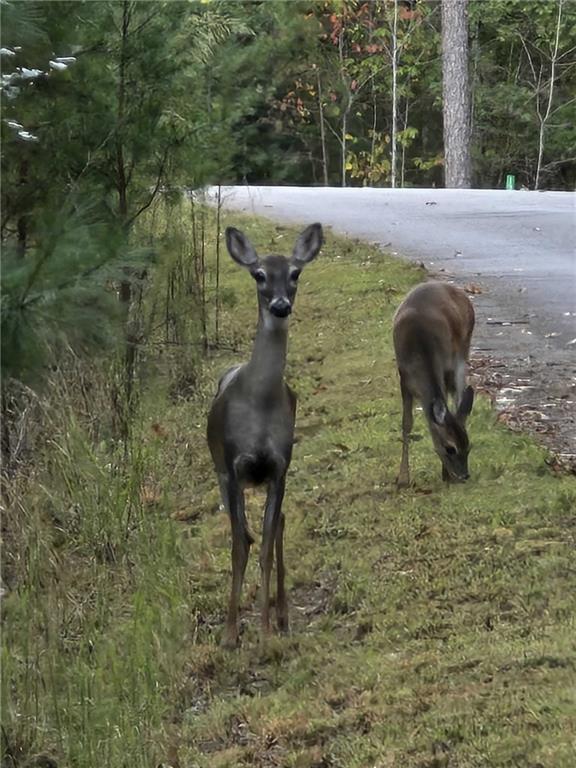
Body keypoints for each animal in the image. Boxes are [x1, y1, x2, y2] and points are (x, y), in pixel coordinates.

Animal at [207, 220, 324, 648]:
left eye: (295, 273)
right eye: (258, 275)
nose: (280, 305)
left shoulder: (278, 467)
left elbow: (266, 546)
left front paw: (265, 629)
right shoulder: (233, 467)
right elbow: (239, 548)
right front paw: (229, 634)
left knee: (280, 526)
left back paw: (283, 615)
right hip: (221, 473)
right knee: (248, 534)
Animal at [394, 280, 474, 486]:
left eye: (468, 447)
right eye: (450, 448)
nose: (464, 476)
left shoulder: (443, 369)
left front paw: (445, 475)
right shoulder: (403, 378)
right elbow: (406, 423)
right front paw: (403, 478)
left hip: (463, 350)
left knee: (459, 396)